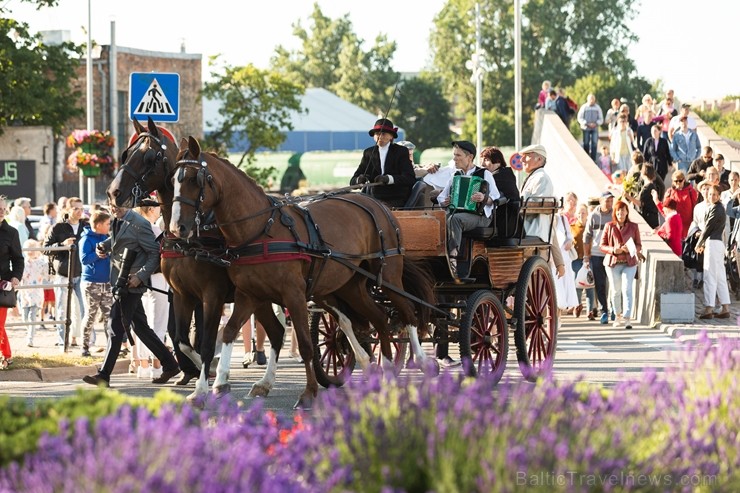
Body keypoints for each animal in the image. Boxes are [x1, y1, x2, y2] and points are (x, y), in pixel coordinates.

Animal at [169, 135, 434, 408]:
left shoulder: (292, 295)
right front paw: (213, 386)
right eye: (173, 180)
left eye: (194, 180)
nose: (177, 227)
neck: (261, 229)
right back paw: (386, 371)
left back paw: (420, 361)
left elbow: (306, 344)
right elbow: (229, 332)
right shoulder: (249, 295)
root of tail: (378, 205)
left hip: (388, 276)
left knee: (407, 311)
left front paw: (308, 393)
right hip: (349, 286)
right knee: (379, 318)